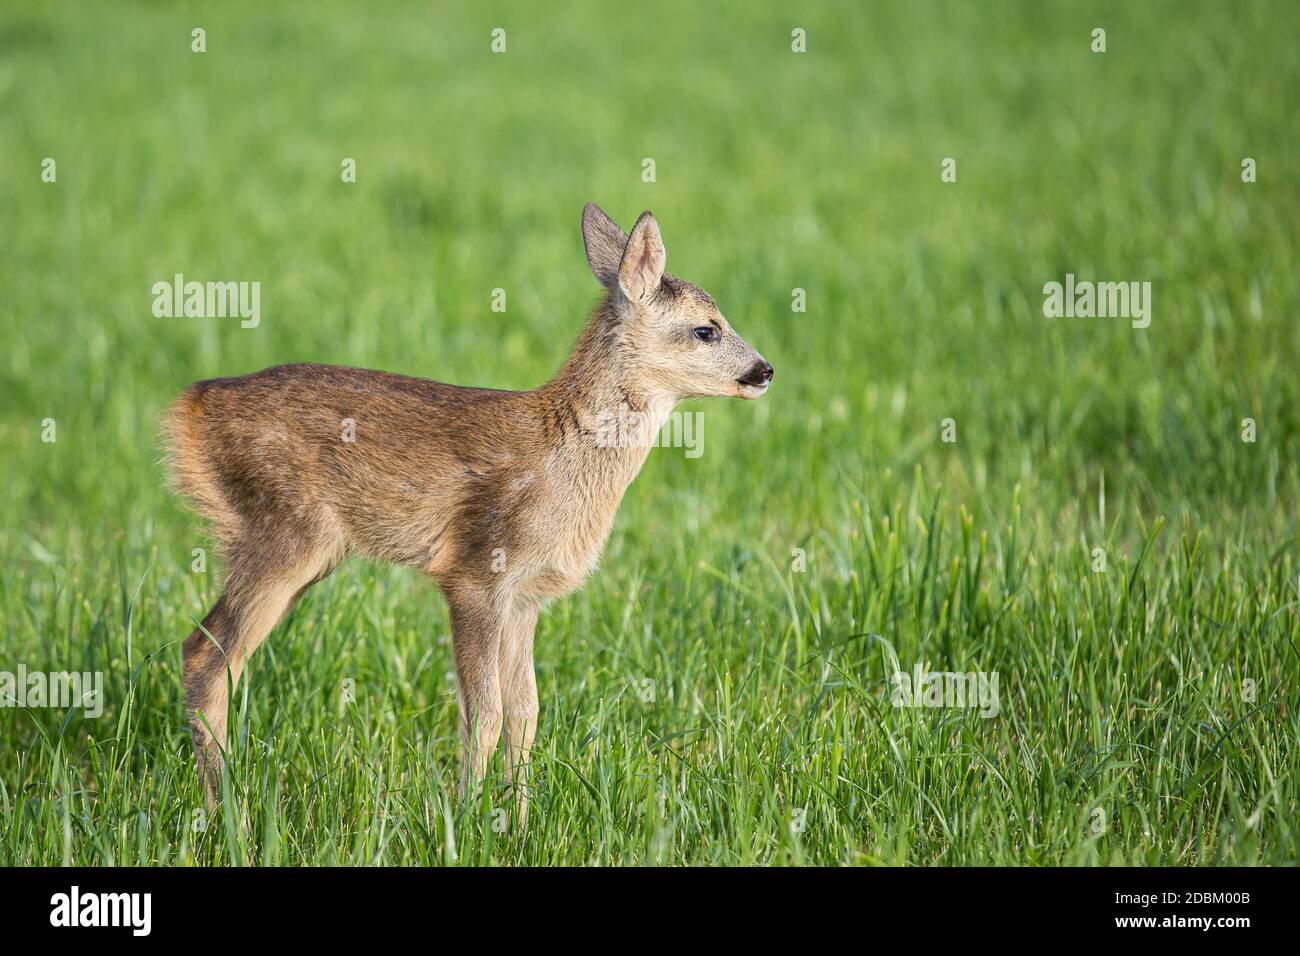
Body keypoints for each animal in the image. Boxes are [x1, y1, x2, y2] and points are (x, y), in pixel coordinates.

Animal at [164, 203, 774, 818]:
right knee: (204, 654)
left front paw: (519, 819)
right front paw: (467, 816)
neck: (561, 458)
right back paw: (225, 813)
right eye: (706, 328)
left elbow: (526, 713)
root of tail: (186, 407)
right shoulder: (476, 573)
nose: (765, 370)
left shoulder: (526, 598)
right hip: (284, 527)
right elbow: (484, 712)